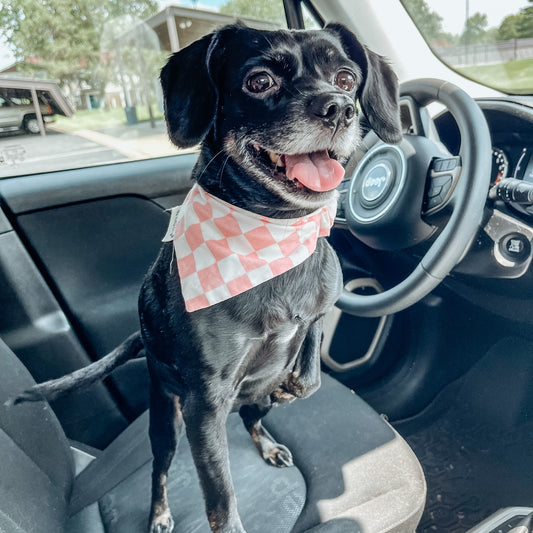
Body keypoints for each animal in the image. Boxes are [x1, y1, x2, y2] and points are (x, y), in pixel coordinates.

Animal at [14, 21, 400, 532]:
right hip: (166, 422)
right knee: (160, 470)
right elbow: (220, 495)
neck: (276, 237)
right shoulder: (204, 405)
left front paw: (294, 384)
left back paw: (268, 442)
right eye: (259, 81)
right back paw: (159, 513)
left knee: (253, 418)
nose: (340, 108)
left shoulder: (316, 317)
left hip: (242, 404)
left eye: (346, 78)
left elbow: (312, 364)